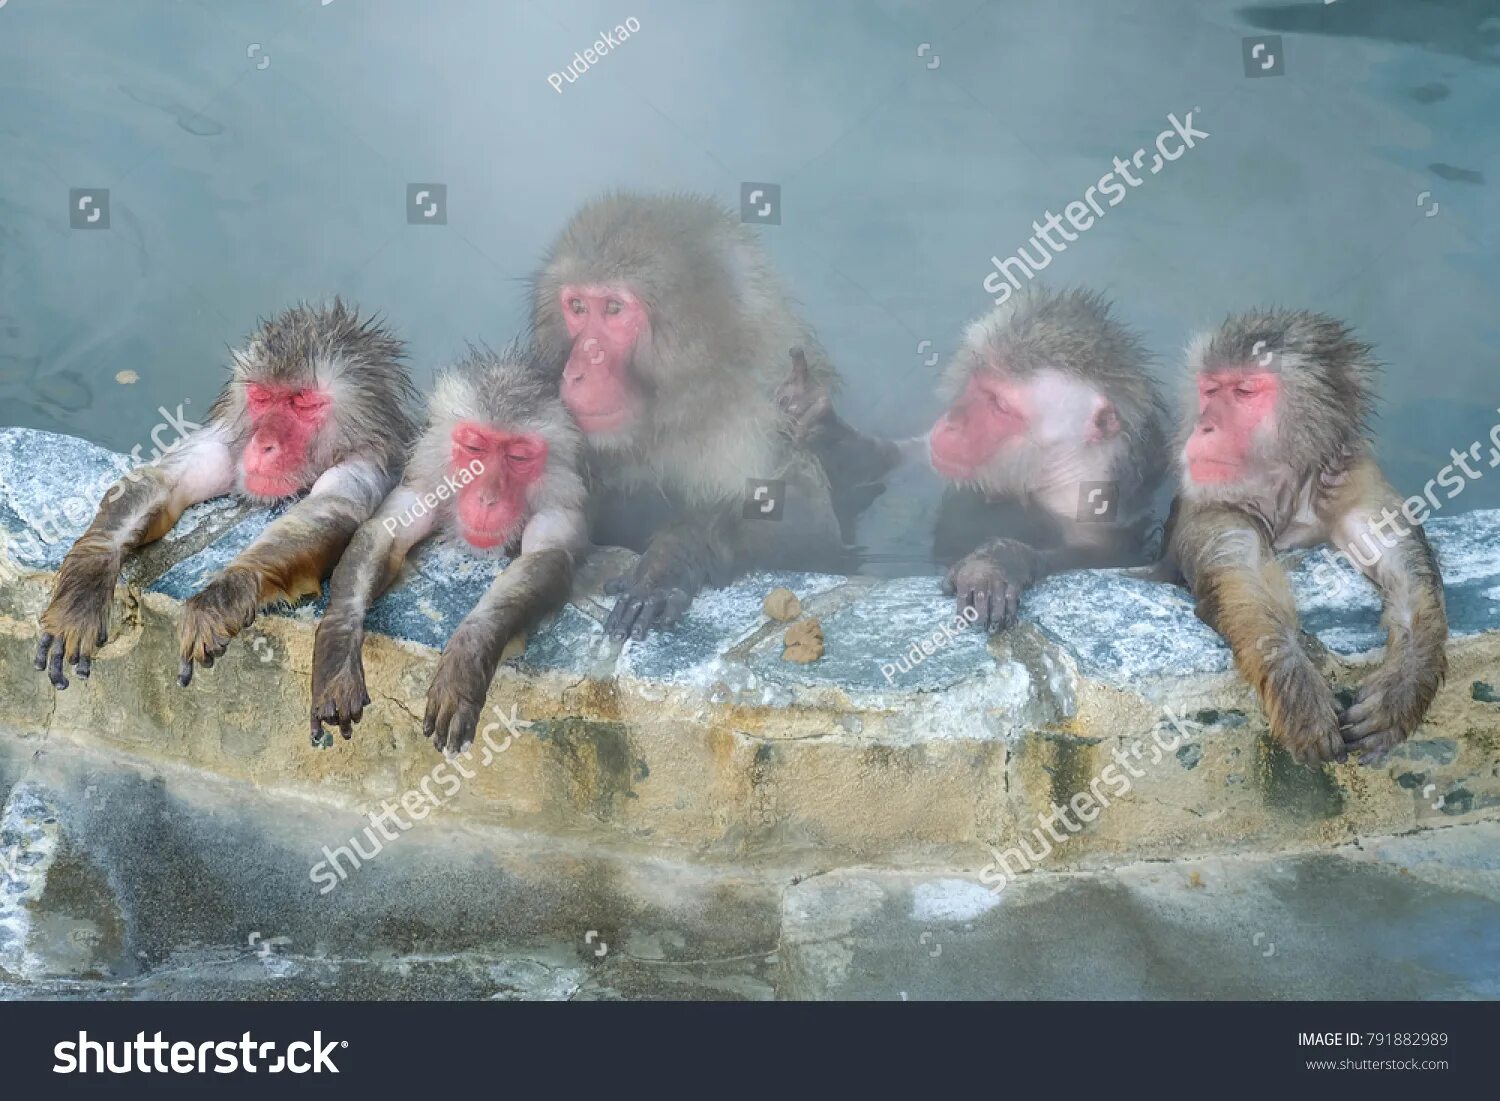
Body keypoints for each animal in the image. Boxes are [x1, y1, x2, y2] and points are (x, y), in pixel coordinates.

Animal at [38, 301, 414, 690]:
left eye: (302, 403)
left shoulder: (368, 466)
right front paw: (83, 588)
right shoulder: (227, 436)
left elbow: (330, 511)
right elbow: (163, 479)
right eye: (262, 397)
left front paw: (224, 595)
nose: (263, 444)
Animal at [309, 346, 585, 759]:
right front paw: (336, 654)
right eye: (474, 448)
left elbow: (545, 557)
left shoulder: (561, 505)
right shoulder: (427, 480)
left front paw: (465, 659)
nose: (488, 498)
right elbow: (384, 530)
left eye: (519, 457)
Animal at [534, 189, 852, 639]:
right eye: (577, 306)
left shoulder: (754, 431)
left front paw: (669, 562)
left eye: (613, 309)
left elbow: (806, 531)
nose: (576, 372)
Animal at [780, 285, 1164, 630]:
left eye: (1000, 405)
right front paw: (818, 417)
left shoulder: (1089, 502)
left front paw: (996, 563)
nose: (950, 422)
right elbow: (892, 461)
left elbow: (1111, 558)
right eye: (978, 384)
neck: (1047, 471)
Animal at [1164, 306, 1446, 762]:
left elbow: (1407, 578)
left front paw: (1402, 689)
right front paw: (1297, 688)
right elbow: (1247, 582)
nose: (1204, 427)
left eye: (1243, 391)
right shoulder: (1210, 504)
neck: (1289, 494)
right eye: (1210, 390)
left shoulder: (1358, 484)